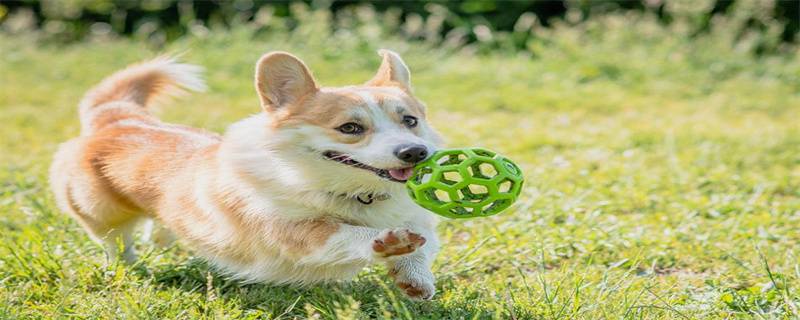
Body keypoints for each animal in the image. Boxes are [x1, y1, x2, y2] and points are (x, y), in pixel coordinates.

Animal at [50, 50, 444, 300]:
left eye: (410, 120)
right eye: (350, 128)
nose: (414, 152)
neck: (354, 193)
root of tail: (118, 117)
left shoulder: (417, 218)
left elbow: (421, 245)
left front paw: (415, 281)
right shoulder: (291, 232)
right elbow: (347, 233)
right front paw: (386, 241)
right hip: (100, 215)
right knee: (115, 242)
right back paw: (128, 263)